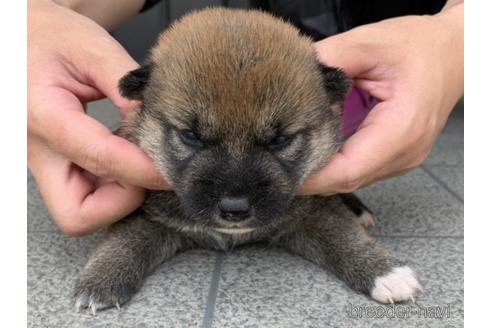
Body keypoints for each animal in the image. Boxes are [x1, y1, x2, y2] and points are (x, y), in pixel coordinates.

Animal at [75, 7, 420, 314]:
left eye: (279, 140)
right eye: (190, 135)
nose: (234, 209)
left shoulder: (314, 212)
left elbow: (344, 235)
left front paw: (384, 271)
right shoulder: (146, 212)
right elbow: (123, 240)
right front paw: (101, 279)